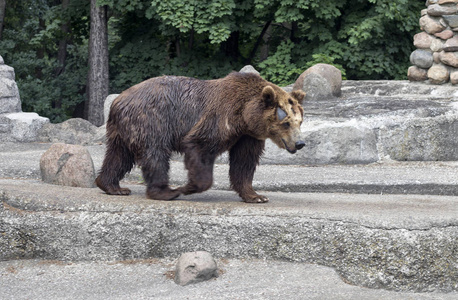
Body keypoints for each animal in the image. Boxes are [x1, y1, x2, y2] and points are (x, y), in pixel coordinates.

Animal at [95, 72, 306, 204]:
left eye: (300, 121)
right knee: (155, 154)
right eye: (286, 122)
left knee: (119, 155)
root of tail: (117, 101)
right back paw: (166, 192)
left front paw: (256, 196)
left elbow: (244, 162)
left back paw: (112, 186)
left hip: (122, 130)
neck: (244, 116)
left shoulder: (247, 136)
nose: (300, 143)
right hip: (150, 120)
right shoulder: (220, 117)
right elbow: (200, 145)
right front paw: (188, 187)